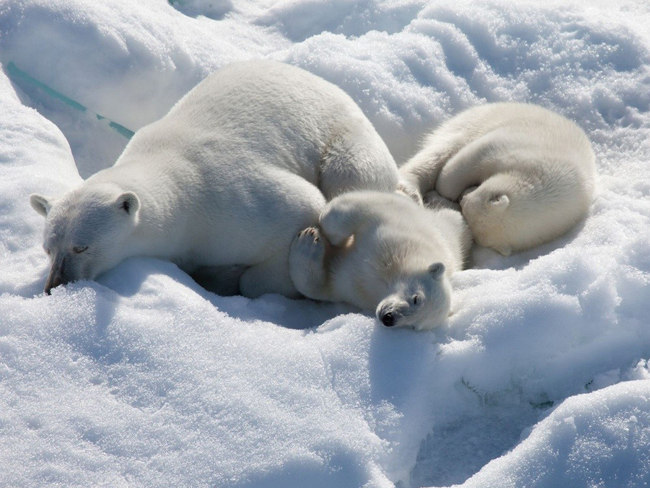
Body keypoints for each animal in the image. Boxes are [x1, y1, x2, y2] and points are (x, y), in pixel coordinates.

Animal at [30, 61, 398, 298]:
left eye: (81, 246)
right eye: (48, 248)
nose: (54, 286)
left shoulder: (231, 203)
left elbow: (304, 207)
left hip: (345, 141)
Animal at [288, 193, 466, 330]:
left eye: (414, 326)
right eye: (416, 299)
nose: (389, 318)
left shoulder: (355, 288)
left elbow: (322, 286)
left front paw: (307, 243)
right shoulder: (394, 228)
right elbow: (363, 207)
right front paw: (320, 236)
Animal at [398, 103, 596, 255]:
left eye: (465, 208)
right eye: (466, 202)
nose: (462, 197)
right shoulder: (520, 148)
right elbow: (470, 158)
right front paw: (441, 192)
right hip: (470, 123)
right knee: (440, 151)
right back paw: (412, 189)